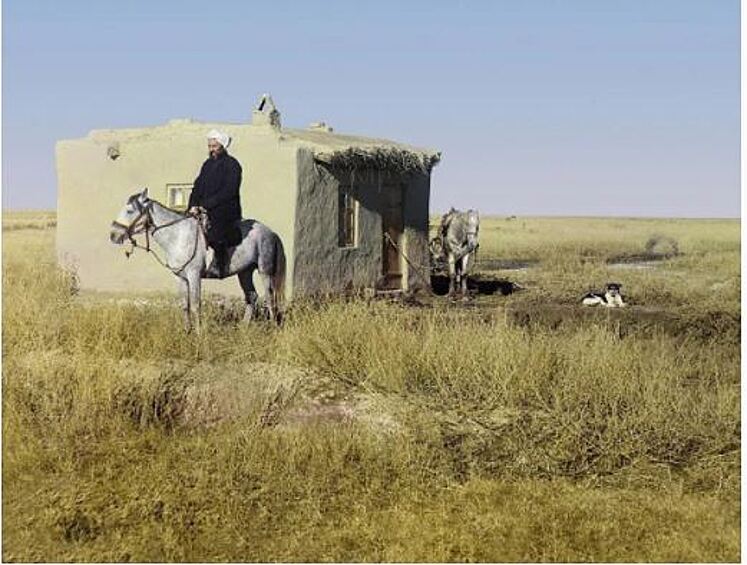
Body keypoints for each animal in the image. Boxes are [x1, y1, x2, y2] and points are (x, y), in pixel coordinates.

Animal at [109, 189, 284, 330]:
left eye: (130, 210)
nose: (113, 235)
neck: (178, 236)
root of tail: (271, 232)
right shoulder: (181, 277)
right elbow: (184, 305)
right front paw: (187, 331)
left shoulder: (194, 275)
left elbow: (195, 305)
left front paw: (199, 334)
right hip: (244, 272)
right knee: (252, 296)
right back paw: (243, 328)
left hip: (265, 272)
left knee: (270, 299)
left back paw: (272, 328)